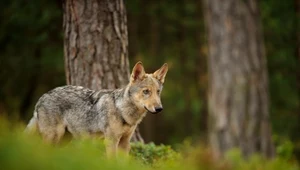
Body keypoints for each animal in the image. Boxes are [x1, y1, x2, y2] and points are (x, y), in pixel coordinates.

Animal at [25, 61, 169, 156]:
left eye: (158, 92)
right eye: (146, 92)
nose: (159, 108)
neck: (123, 111)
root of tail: (42, 97)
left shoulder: (125, 142)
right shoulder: (111, 141)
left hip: (63, 140)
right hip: (53, 137)